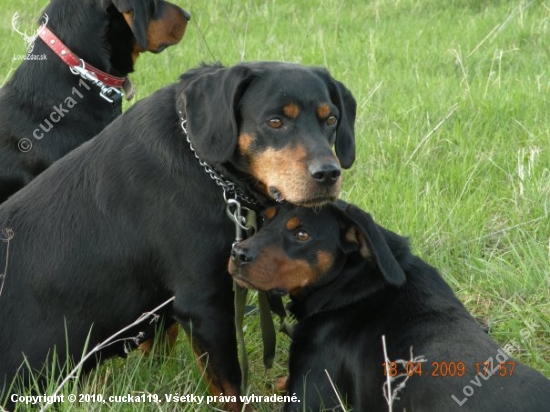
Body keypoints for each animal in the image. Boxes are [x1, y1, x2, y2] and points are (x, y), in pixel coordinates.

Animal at [0, 62, 358, 412]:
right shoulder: (204, 303)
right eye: (275, 121)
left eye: (331, 120)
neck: (206, 167)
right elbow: (231, 389)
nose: (328, 174)